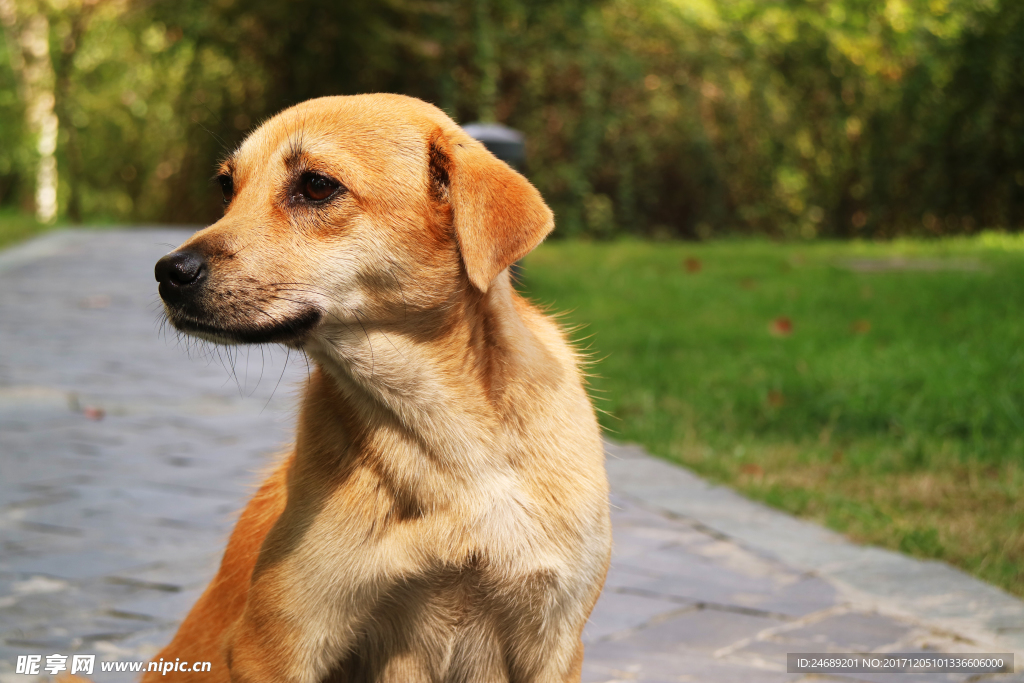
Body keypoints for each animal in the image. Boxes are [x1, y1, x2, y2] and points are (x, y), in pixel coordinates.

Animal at [145, 92, 610, 683]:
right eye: (228, 187)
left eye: (317, 186)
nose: (168, 272)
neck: (450, 451)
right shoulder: (281, 640)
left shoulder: (551, 640)